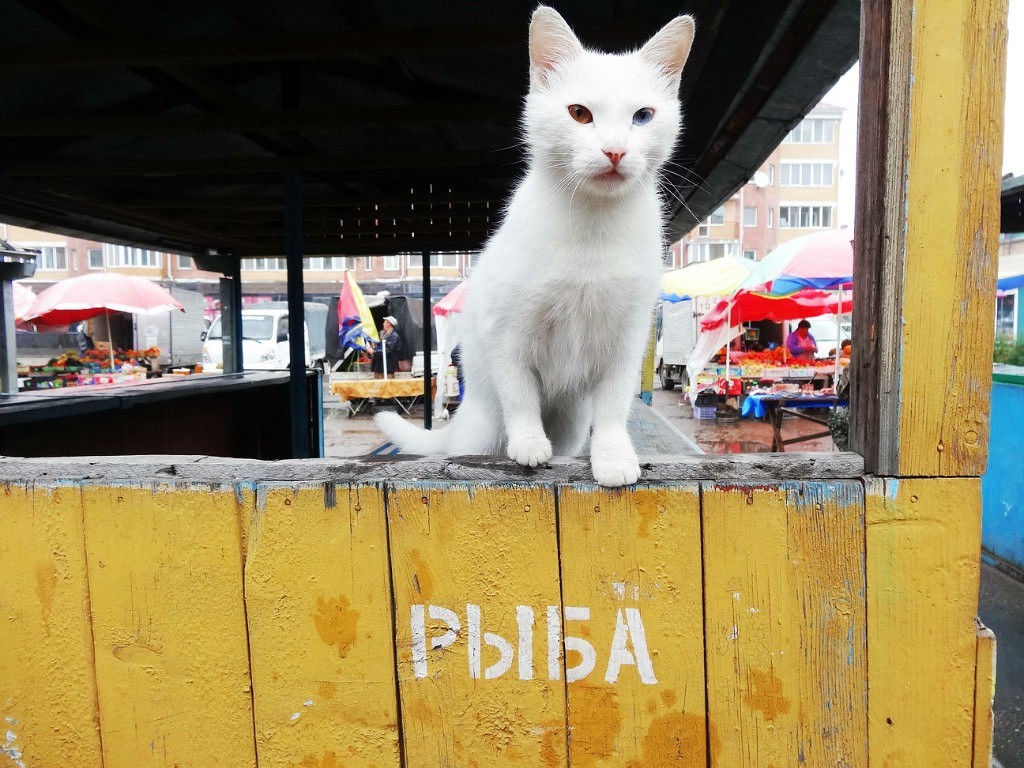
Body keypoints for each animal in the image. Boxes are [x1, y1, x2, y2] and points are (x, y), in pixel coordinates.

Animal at [376, 6, 696, 487]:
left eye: (643, 116)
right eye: (580, 113)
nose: (615, 151)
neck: (591, 227)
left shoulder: (627, 337)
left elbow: (613, 405)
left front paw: (614, 455)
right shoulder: (506, 332)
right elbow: (520, 393)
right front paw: (528, 443)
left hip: (571, 422)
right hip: (481, 428)